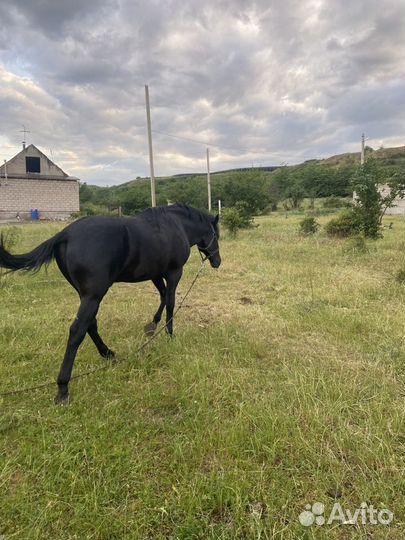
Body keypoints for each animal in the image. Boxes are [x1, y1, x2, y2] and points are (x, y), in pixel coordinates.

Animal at [0, 205, 219, 402]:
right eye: (216, 235)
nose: (217, 262)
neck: (175, 225)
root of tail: (66, 234)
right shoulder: (173, 272)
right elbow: (171, 302)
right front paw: (169, 334)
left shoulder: (155, 274)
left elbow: (163, 296)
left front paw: (152, 325)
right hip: (94, 295)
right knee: (78, 331)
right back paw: (63, 388)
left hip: (87, 295)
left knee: (91, 324)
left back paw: (107, 353)